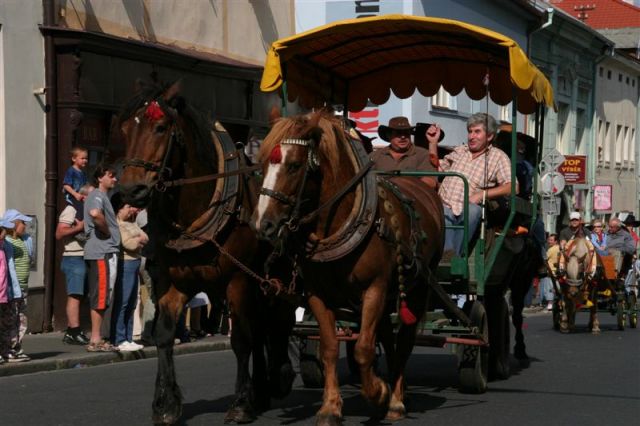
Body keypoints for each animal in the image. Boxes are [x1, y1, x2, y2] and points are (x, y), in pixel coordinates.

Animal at [117, 81, 296, 424]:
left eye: (160, 128)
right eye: (124, 129)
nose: (131, 190)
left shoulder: (239, 281)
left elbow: (241, 340)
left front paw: (240, 403)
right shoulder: (171, 282)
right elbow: (163, 335)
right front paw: (165, 404)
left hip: (273, 281)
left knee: (275, 323)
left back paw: (276, 378)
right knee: (263, 328)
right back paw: (263, 390)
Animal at [251, 111, 444, 424]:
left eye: (294, 166)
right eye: (263, 164)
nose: (262, 225)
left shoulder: (375, 288)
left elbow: (364, 348)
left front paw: (378, 393)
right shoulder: (317, 295)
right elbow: (330, 348)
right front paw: (331, 407)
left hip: (417, 286)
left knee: (404, 341)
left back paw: (396, 401)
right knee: (388, 337)